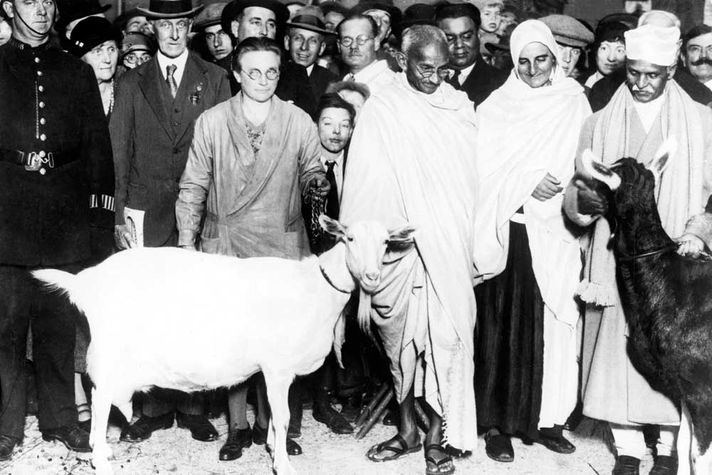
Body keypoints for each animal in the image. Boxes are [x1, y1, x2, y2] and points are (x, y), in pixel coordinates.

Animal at [33, 217, 414, 475]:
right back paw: (100, 457)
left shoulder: (272, 369)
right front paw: (282, 464)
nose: (372, 277)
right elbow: (283, 415)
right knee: (99, 400)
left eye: (385, 243)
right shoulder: (278, 367)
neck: (315, 288)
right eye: (349, 238)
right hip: (112, 354)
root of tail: (87, 281)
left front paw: (273, 447)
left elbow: (273, 414)